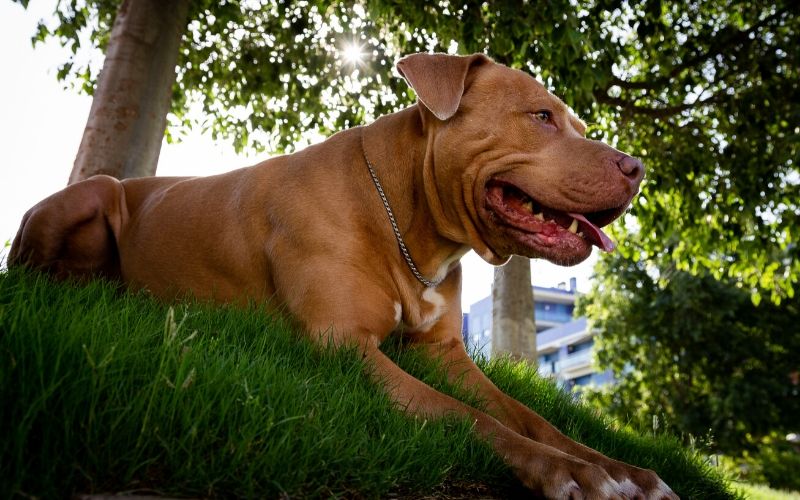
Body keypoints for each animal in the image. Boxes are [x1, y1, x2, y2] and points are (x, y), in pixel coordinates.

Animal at [10, 52, 676, 498]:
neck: (405, 220)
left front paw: (622, 469)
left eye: (579, 127)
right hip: (94, 192)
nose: (637, 168)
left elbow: (528, 414)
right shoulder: (344, 346)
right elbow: (468, 417)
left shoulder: (445, 356)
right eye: (541, 116)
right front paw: (571, 472)